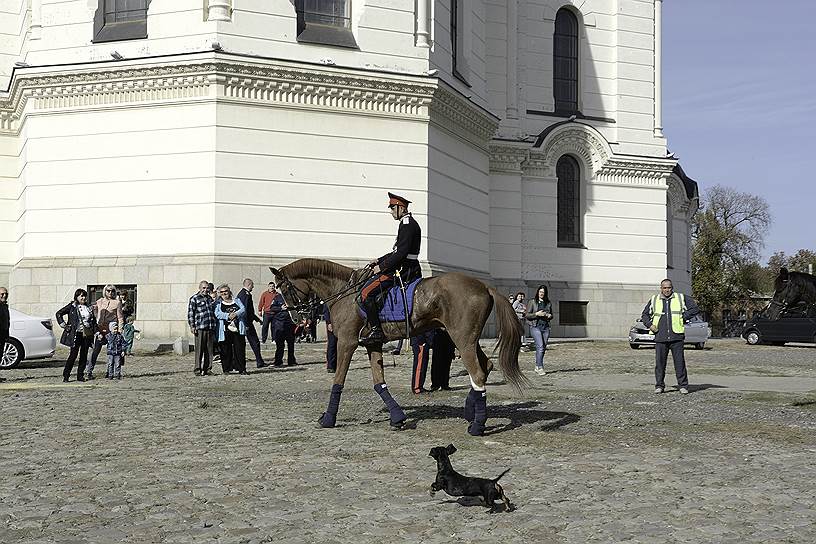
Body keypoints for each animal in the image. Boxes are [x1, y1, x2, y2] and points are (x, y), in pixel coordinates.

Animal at [270, 260, 528, 438]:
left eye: (285, 289)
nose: (295, 318)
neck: (346, 293)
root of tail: (484, 285)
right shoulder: (373, 343)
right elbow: (379, 383)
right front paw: (397, 417)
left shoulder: (347, 342)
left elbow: (338, 382)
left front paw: (328, 418)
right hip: (468, 341)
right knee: (486, 367)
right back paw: (469, 412)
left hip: (462, 341)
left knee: (477, 374)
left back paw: (477, 425)